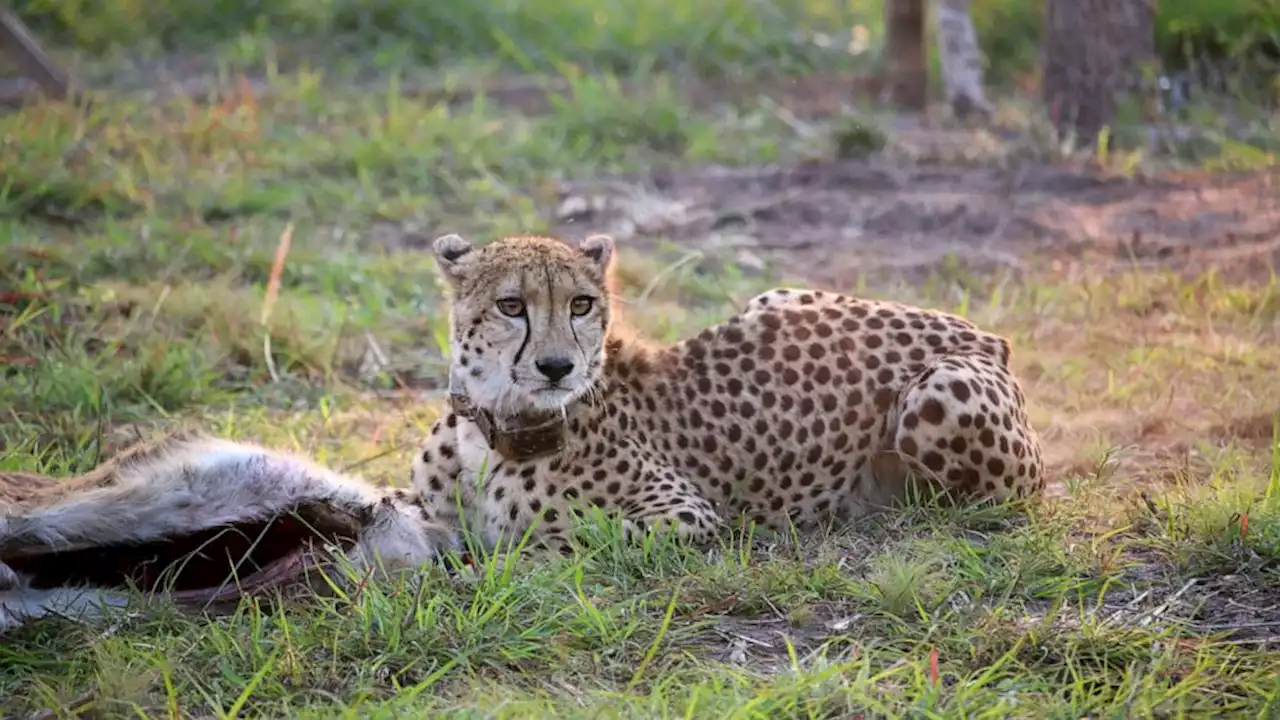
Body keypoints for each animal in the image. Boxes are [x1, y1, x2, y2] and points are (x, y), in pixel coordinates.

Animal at [409, 233, 1039, 550]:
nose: (558, 366)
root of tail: (978, 330)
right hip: (776, 295)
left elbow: (562, 538)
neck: (492, 425)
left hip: (940, 390)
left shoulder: (686, 513)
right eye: (511, 306)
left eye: (580, 304)